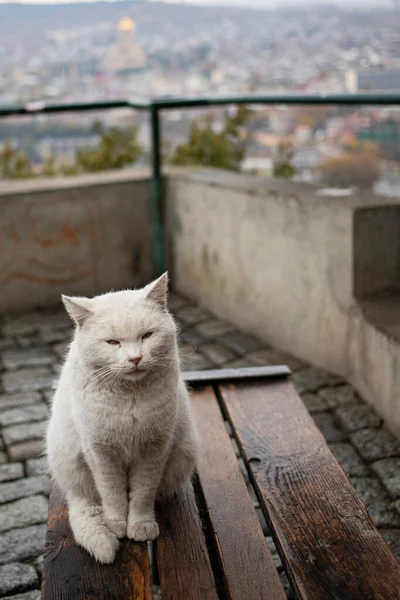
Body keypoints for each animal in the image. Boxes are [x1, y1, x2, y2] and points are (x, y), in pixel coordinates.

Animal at [46, 274, 199, 564]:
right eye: (112, 342)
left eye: (147, 335)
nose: (135, 358)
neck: (129, 397)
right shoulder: (101, 454)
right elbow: (113, 493)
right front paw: (116, 524)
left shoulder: (153, 452)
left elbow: (142, 494)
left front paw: (140, 525)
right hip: (72, 464)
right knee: (84, 499)